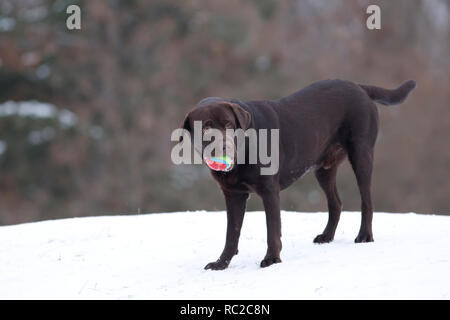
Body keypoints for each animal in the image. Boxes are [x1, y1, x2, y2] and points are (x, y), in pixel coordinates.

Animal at [179, 79, 414, 268]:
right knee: (336, 203)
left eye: (229, 124)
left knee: (366, 200)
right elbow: (232, 233)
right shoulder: (233, 194)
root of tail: (358, 86)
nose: (224, 147)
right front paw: (221, 263)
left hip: (361, 153)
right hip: (324, 168)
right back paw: (327, 236)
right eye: (205, 128)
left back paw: (364, 235)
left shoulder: (269, 190)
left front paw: (272, 260)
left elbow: (272, 229)